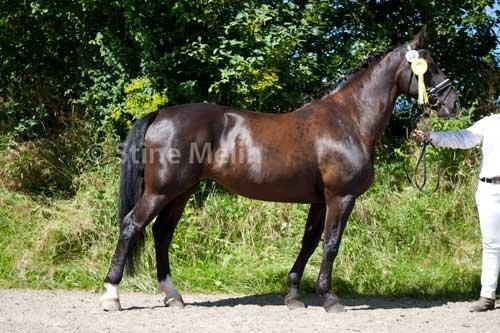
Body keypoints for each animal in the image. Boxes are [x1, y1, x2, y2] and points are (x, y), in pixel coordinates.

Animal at [99, 27, 458, 312]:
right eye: (430, 66)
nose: (453, 103)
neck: (348, 120)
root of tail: (160, 114)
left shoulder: (320, 201)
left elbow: (308, 243)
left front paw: (294, 295)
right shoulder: (340, 197)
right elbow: (330, 245)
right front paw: (330, 299)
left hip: (181, 192)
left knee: (162, 233)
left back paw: (173, 296)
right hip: (161, 190)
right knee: (131, 226)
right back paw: (111, 295)